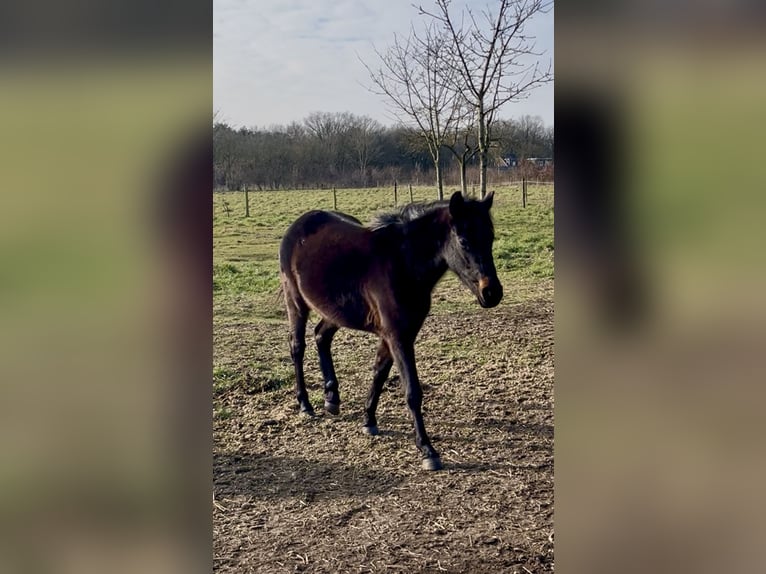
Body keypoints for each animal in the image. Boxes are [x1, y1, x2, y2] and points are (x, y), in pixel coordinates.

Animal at [280, 191, 504, 470]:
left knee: (322, 336)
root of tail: (299, 224)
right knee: (297, 347)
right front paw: (427, 450)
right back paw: (305, 404)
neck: (402, 265)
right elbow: (412, 390)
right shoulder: (398, 336)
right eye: (463, 240)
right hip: (296, 302)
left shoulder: (397, 334)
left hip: (336, 311)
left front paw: (369, 420)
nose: (492, 292)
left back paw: (331, 397)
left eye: (490, 237)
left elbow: (379, 373)